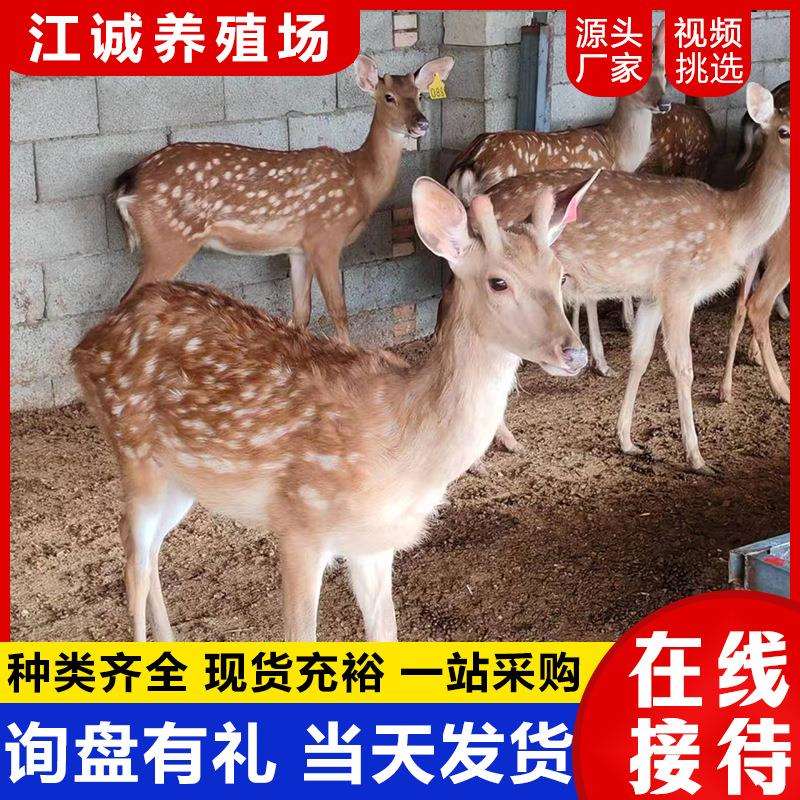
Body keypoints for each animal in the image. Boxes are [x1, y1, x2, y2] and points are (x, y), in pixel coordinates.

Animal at [70, 175, 594, 643]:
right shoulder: (300, 523)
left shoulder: (374, 541)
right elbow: (299, 636)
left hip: (182, 478)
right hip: (133, 451)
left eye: (561, 275)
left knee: (148, 547)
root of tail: (84, 347)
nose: (574, 353)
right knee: (133, 558)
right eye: (498, 282)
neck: (406, 449)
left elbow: (386, 633)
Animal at [112, 53, 455, 344]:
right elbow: (338, 311)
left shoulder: (298, 248)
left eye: (420, 95)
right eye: (388, 97)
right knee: (127, 302)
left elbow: (301, 314)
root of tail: (128, 183)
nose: (421, 123)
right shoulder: (325, 238)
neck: (360, 181)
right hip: (169, 239)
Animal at [485, 82, 789, 476]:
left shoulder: (653, 293)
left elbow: (640, 357)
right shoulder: (681, 285)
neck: (732, 223)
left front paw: (627, 440)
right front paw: (697, 458)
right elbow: (682, 366)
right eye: (784, 131)